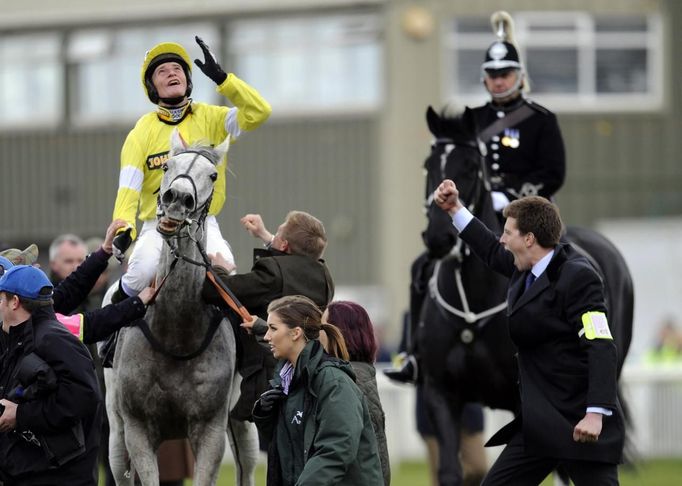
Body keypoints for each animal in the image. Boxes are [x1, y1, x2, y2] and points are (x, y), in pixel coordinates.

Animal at [103, 130, 258, 486]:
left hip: (241, 424)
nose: (177, 199)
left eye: (212, 175)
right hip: (116, 432)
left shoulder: (211, 429)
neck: (175, 332)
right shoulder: (137, 430)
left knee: (247, 464)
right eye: (166, 166)